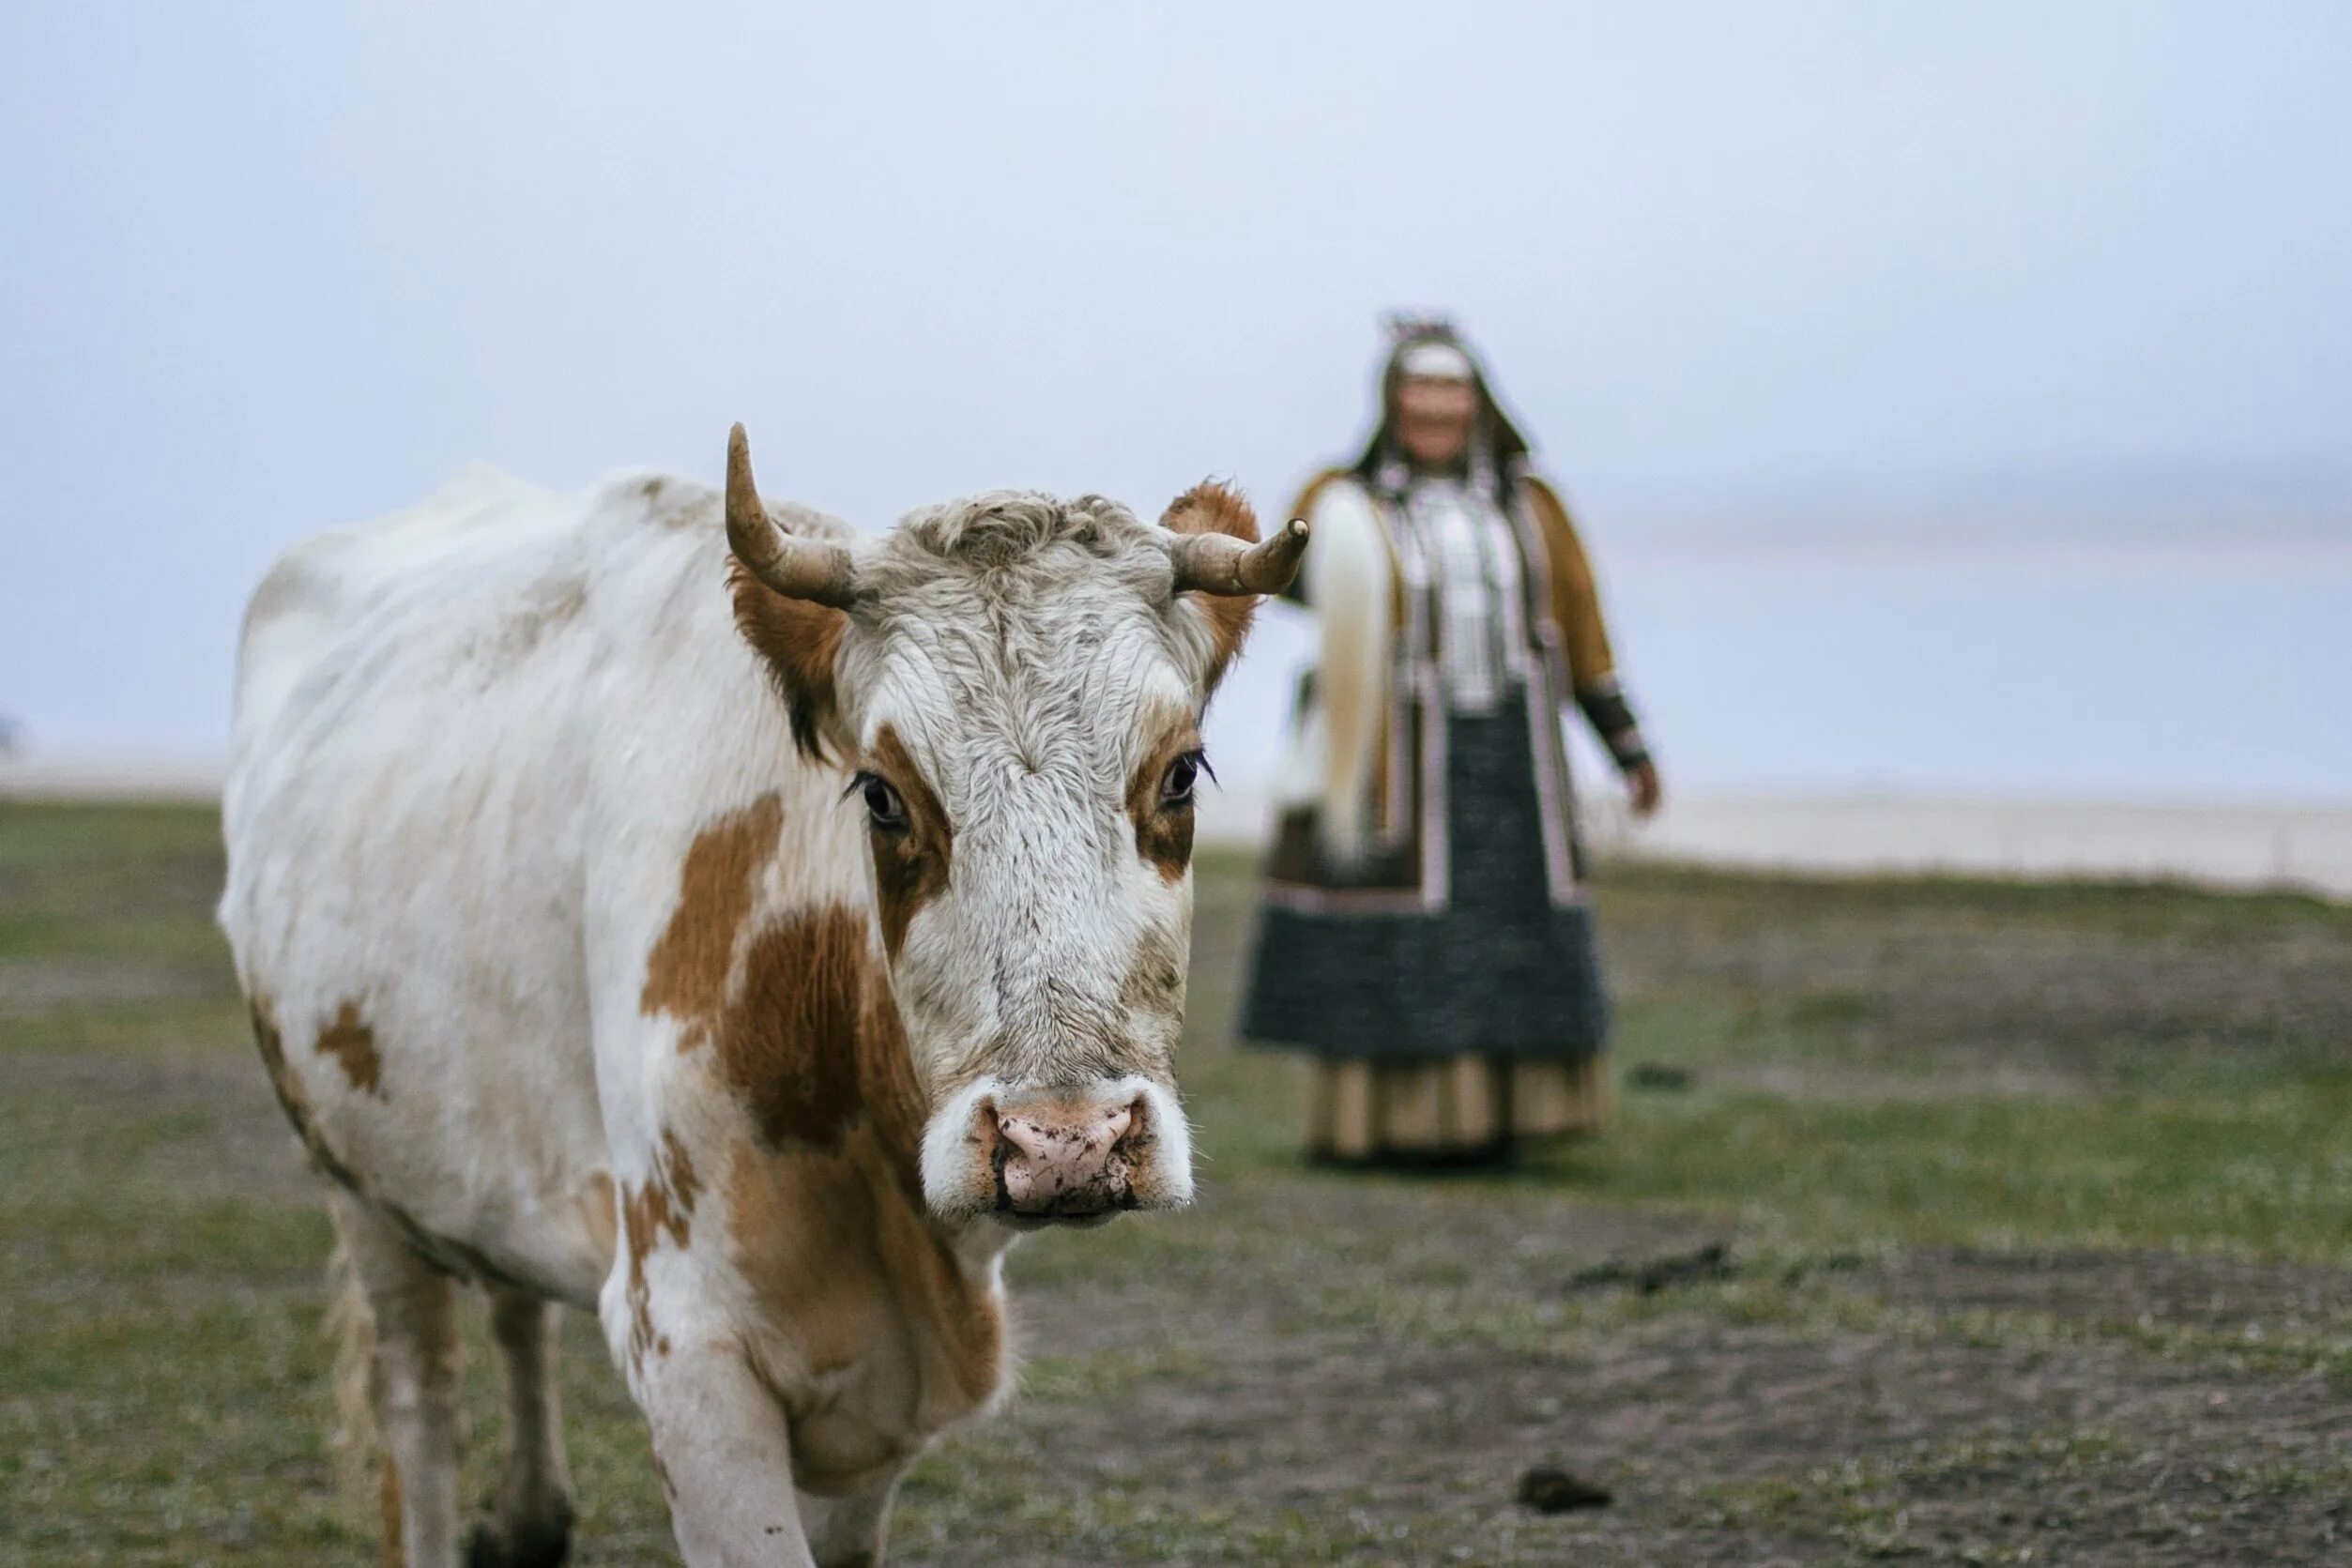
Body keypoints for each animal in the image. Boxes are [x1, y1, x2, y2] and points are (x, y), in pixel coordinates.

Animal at [216, 422, 1307, 1560]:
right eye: (882, 795)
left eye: (1180, 771)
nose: (1064, 1142)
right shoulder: (686, 1348)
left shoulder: (877, 1409)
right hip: (358, 1182)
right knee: (419, 1403)